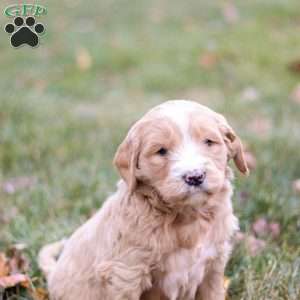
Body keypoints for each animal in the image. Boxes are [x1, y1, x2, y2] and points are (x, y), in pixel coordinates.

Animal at [38, 100, 248, 300]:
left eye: (209, 142)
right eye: (161, 151)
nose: (195, 176)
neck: (187, 218)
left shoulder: (214, 265)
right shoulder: (126, 273)